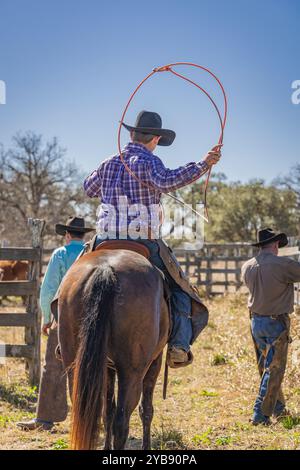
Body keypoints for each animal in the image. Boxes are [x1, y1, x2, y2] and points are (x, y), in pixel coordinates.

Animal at [57, 248, 170, 450]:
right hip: (131, 373)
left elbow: (107, 410)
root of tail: (105, 269)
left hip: (74, 366)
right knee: (122, 421)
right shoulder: (155, 362)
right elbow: (146, 410)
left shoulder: (107, 368)